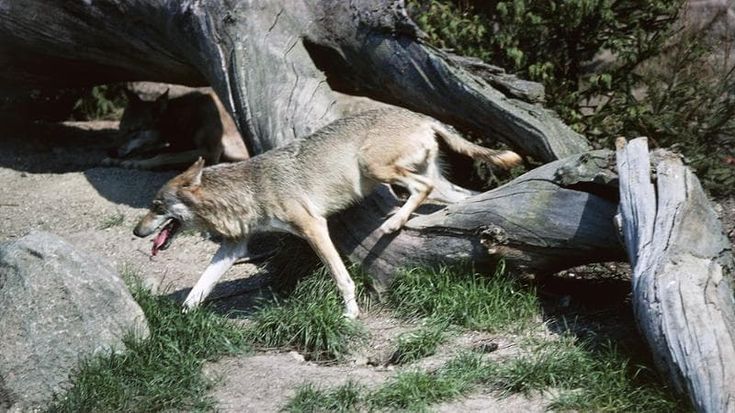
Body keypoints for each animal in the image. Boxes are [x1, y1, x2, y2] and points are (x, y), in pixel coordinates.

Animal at [104, 88, 249, 169]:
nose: (110, 151)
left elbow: (165, 156)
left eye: (134, 130)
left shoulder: (210, 152)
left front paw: (139, 164)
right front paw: (116, 160)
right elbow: (145, 152)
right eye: (120, 128)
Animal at [133, 108, 521, 319]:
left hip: (374, 167)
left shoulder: (313, 227)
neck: (249, 190)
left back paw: (395, 222)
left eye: (155, 206)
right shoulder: (234, 247)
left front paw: (350, 313)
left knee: (420, 190)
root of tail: (420, 115)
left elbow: (341, 277)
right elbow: (199, 287)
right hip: (434, 182)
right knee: (464, 196)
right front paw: (180, 321)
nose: (136, 232)